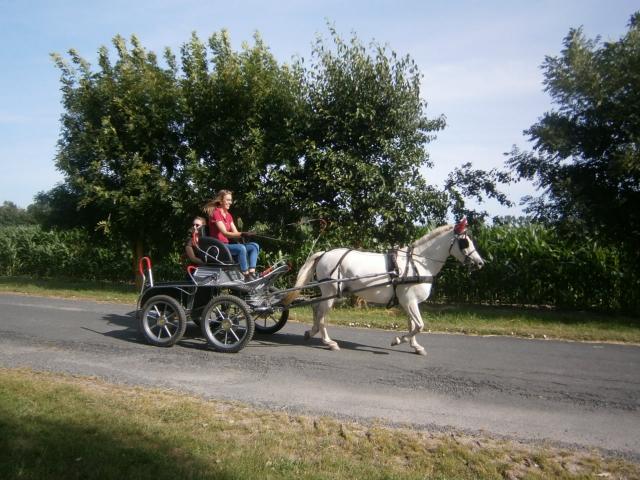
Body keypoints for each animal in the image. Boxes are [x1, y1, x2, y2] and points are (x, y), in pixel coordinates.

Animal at [284, 219, 484, 354]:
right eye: (465, 242)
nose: (480, 263)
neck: (417, 264)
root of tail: (324, 253)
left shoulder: (408, 301)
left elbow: (413, 324)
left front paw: (415, 346)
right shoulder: (409, 301)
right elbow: (419, 325)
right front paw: (398, 340)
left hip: (331, 293)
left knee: (316, 309)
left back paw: (311, 332)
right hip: (331, 292)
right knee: (321, 314)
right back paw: (329, 342)